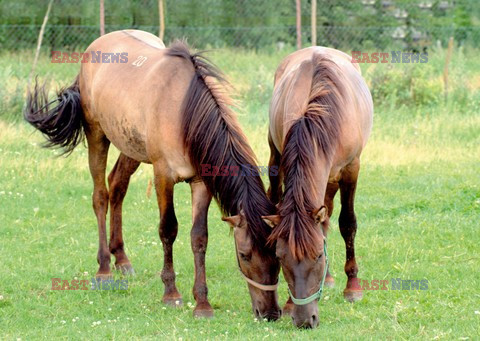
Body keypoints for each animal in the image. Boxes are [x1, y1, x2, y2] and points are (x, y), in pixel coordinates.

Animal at [24, 29, 282, 318]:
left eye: (278, 254)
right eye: (244, 254)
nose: (270, 313)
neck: (183, 112)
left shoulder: (200, 181)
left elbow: (199, 236)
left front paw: (202, 303)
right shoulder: (163, 177)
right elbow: (168, 229)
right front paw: (171, 293)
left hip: (131, 147)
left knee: (117, 186)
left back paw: (122, 259)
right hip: (97, 134)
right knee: (100, 195)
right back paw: (104, 269)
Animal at [262, 46, 372, 328]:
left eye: (318, 257)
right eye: (280, 257)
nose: (304, 319)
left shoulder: (351, 169)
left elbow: (347, 223)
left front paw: (353, 287)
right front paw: (289, 304)